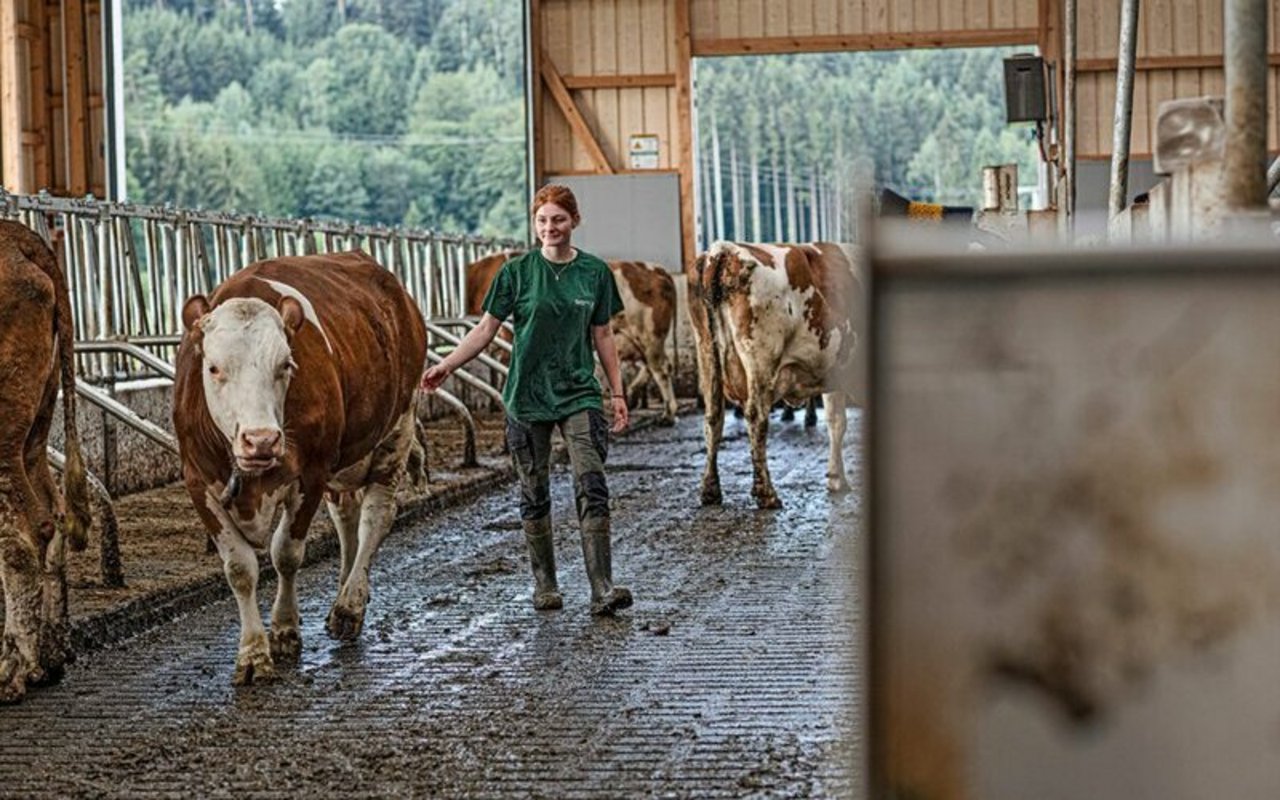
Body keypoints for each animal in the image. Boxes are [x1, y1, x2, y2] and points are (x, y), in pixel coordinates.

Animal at [174, 252, 430, 680]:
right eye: (213, 367)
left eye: (286, 365)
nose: (261, 439)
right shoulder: (198, 481)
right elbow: (239, 568)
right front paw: (253, 653)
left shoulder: (311, 472)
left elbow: (286, 554)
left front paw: (284, 630)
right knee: (346, 517)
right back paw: (342, 593)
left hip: (398, 426)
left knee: (376, 516)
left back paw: (349, 606)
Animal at [463, 249, 680, 424]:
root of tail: (656, 269)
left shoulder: (507, 337)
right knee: (652, 367)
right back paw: (636, 396)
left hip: (650, 335)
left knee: (660, 369)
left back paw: (668, 414)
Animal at [686, 240, 865, 509]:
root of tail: (724, 250)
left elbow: (836, 422)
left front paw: (836, 479)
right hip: (761, 358)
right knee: (756, 417)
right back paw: (766, 493)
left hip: (707, 354)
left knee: (713, 418)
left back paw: (710, 490)